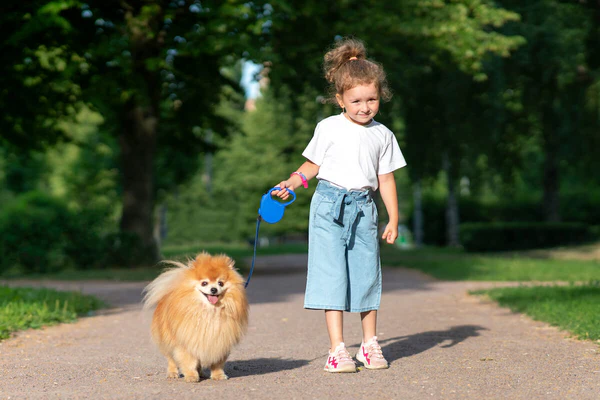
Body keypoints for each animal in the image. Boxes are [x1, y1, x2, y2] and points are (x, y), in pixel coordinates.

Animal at [143, 253, 248, 382]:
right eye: (204, 283)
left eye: (220, 283)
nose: (214, 289)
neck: (210, 311)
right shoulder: (186, 341)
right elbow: (189, 361)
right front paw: (191, 376)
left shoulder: (220, 341)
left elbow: (217, 363)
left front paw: (218, 375)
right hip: (167, 340)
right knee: (171, 359)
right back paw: (173, 373)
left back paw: (201, 373)